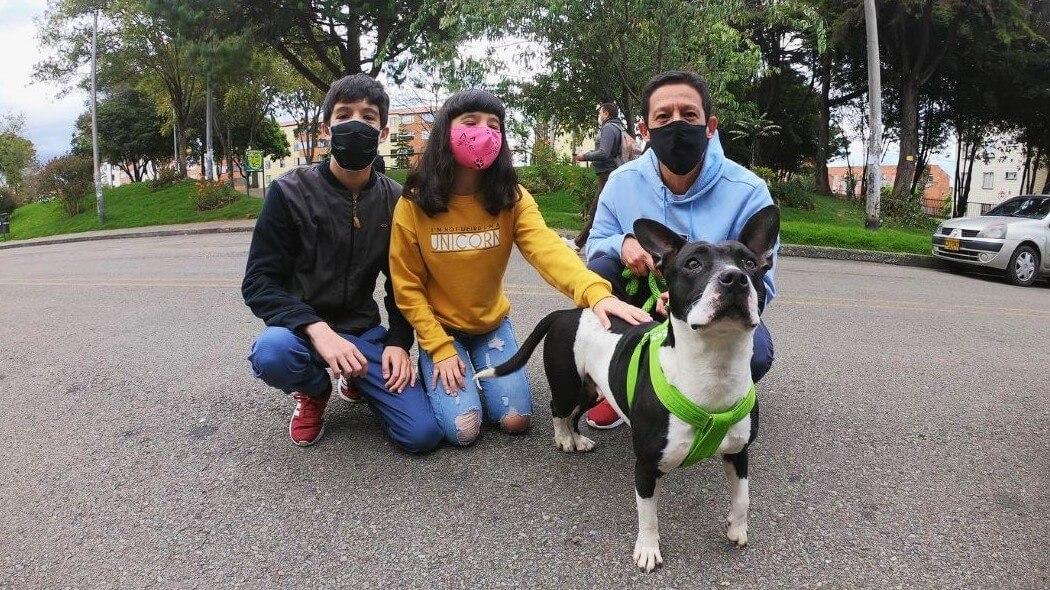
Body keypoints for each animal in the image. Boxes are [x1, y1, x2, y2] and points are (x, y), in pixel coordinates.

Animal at [476, 205, 781, 571]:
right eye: (693, 263)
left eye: (749, 262)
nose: (735, 278)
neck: (714, 366)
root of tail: (567, 312)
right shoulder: (646, 466)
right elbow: (648, 515)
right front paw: (648, 550)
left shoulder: (738, 452)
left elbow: (743, 497)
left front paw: (737, 529)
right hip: (567, 385)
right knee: (558, 410)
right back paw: (564, 439)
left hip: (591, 388)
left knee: (576, 413)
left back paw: (577, 439)